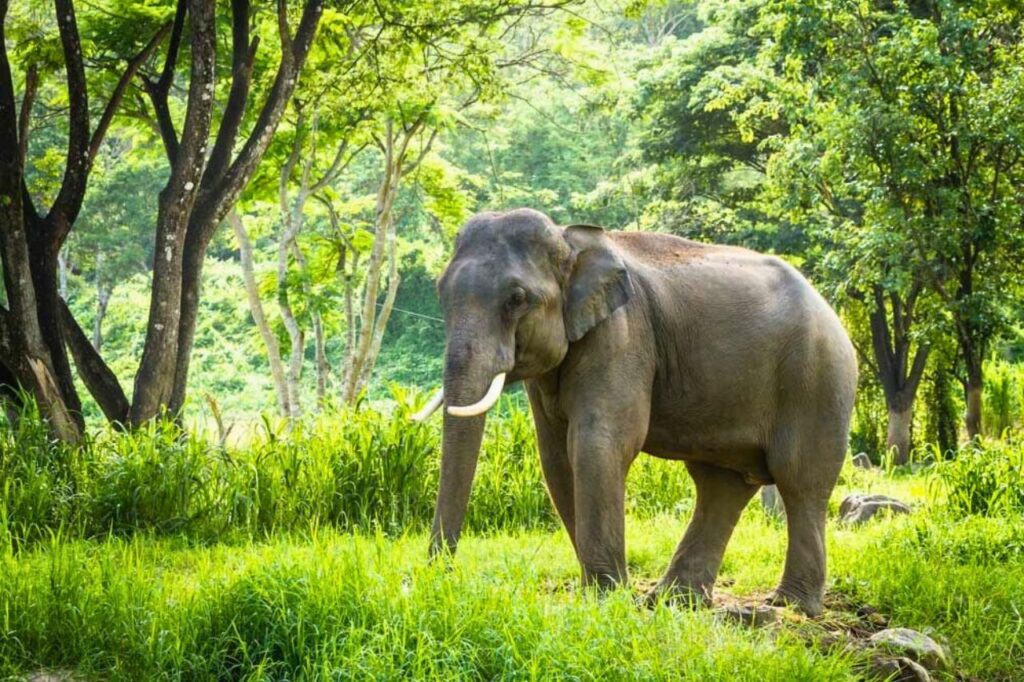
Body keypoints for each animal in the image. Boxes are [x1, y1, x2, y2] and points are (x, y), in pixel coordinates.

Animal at [413, 208, 857, 616]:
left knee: (799, 480)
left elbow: (598, 443)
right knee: (721, 485)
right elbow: (556, 457)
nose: (440, 577)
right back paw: (674, 601)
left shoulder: (623, 334)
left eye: (517, 298)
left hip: (817, 379)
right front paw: (606, 593)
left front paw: (607, 597)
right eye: (438, 291)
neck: (569, 239)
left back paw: (789, 606)